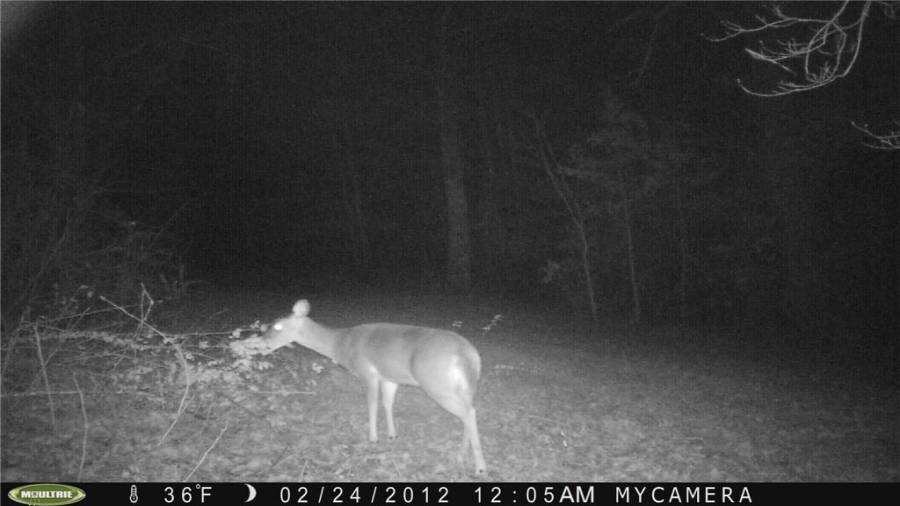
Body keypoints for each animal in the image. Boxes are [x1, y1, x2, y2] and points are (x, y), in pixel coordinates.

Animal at [231, 299, 487, 475]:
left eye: (277, 327)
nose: (259, 342)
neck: (340, 344)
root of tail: (469, 355)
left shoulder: (367, 372)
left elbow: (372, 404)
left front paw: (372, 439)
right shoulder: (389, 376)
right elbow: (387, 403)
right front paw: (392, 435)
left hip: (436, 383)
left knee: (469, 413)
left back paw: (480, 467)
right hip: (464, 386)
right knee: (468, 412)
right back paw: (461, 455)